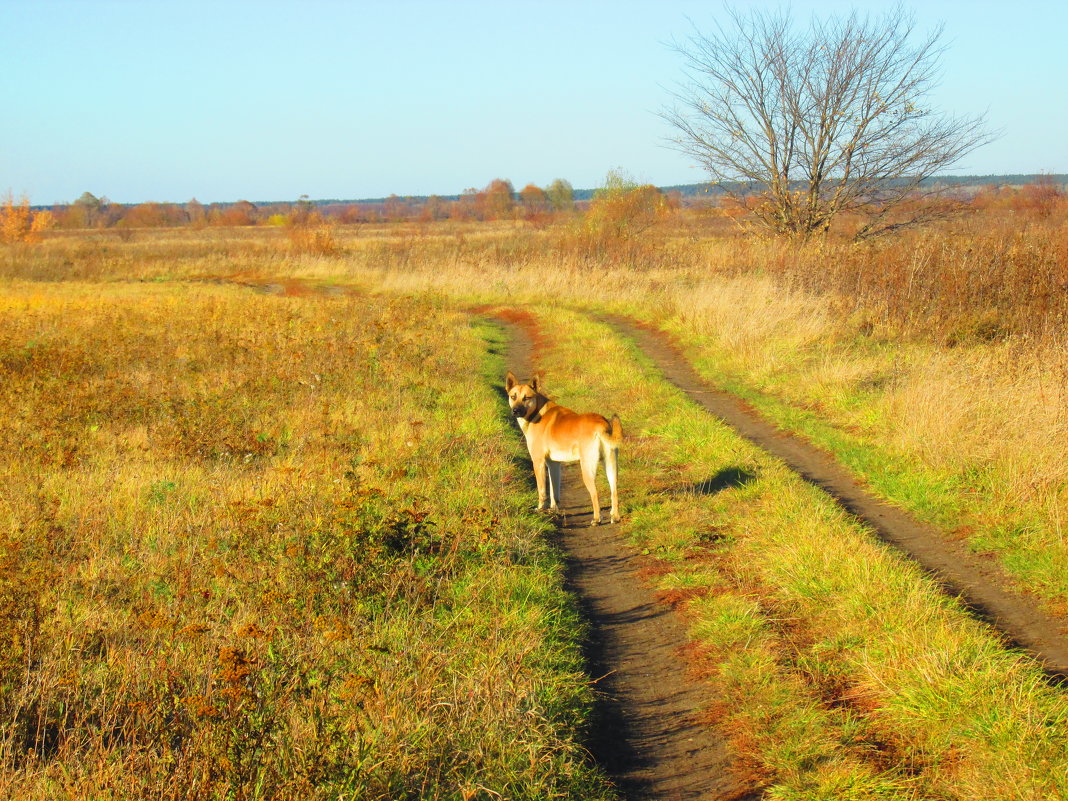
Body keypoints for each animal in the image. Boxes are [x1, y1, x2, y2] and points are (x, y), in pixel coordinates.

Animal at [504, 371, 623, 527]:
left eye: (526, 398)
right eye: (513, 397)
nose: (515, 411)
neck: (537, 412)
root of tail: (602, 424)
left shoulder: (538, 462)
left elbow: (542, 491)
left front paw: (540, 509)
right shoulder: (553, 464)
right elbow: (555, 492)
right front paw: (553, 511)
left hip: (587, 468)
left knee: (595, 494)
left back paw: (596, 519)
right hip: (611, 465)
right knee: (614, 491)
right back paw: (615, 517)